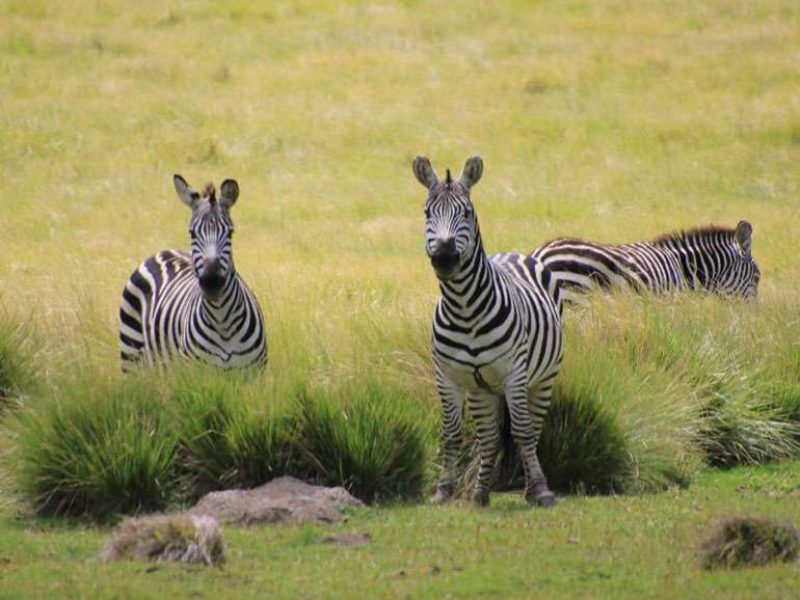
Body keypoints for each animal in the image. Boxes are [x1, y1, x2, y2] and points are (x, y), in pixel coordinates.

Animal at [119, 173, 268, 370]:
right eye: (192, 233)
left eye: (230, 233)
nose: (212, 282)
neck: (224, 323)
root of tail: (165, 251)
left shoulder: (253, 372)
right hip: (130, 355)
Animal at [416, 155, 564, 506]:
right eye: (427, 212)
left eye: (466, 213)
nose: (444, 258)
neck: (465, 309)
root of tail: (513, 253)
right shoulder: (448, 378)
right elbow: (452, 434)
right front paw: (443, 491)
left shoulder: (514, 374)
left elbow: (523, 432)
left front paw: (541, 491)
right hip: (482, 389)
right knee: (489, 437)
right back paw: (481, 493)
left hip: (543, 378)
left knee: (533, 429)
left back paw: (530, 488)